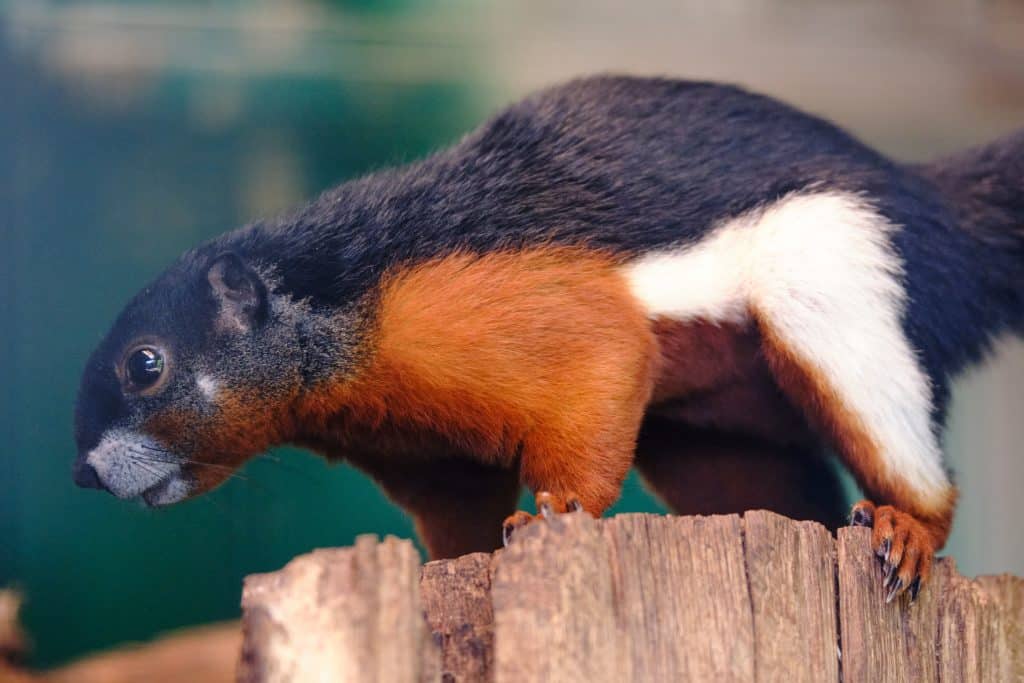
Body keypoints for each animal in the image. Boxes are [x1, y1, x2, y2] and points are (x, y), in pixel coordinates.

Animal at [73, 75, 1023, 602]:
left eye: (146, 365)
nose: (83, 473)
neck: (346, 306)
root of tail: (938, 220)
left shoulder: (521, 308)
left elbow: (603, 365)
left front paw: (556, 515)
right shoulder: (423, 444)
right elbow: (459, 513)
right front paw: (451, 570)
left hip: (836, 288)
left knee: (904, 449)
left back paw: (907, 525)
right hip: (715, 430)